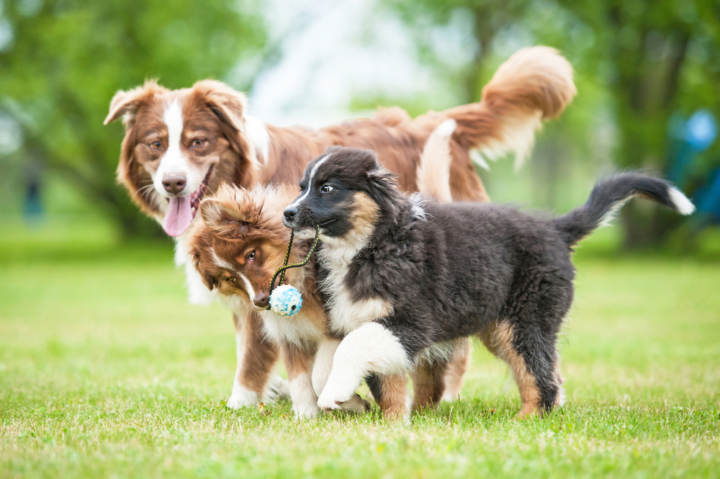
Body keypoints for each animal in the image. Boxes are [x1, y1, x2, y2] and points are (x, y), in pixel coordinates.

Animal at [104, 46, 576, 412]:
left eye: (197, 142)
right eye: (155, 144)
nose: (173, 183)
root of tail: (435, 122)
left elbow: (266, 358)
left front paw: (248, 404)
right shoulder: (253, 303)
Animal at [282, 148, 696, 418]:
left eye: (327, 188)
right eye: (302, 186)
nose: (287, 212)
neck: (370, 244)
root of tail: (555, 228)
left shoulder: (410, 321)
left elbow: (354, 348)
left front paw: (337, 395)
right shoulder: (351, 318)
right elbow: (328, 364)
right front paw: (358, 404)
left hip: (526, 320)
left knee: (540, 375)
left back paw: (528, 421)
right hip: (502, 327)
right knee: (551, 373)